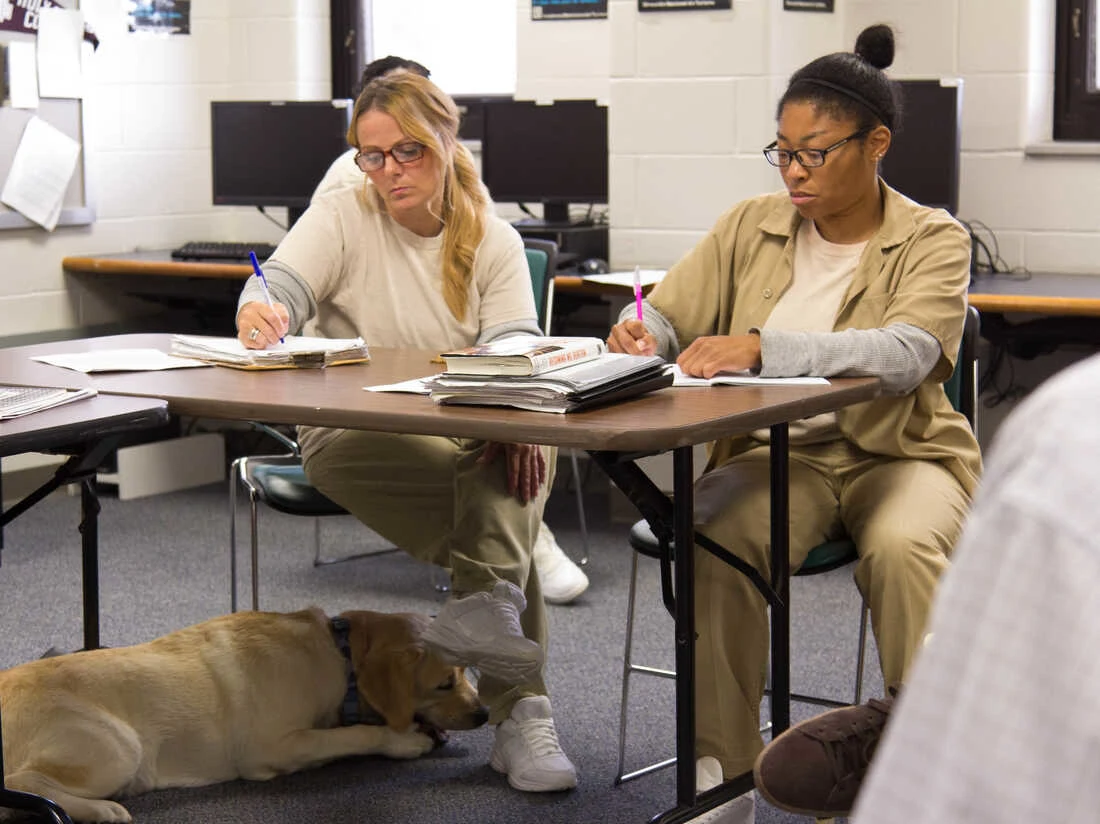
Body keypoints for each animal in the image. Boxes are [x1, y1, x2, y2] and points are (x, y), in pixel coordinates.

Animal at [0, 607, 490, 818]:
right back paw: (99, 810)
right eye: (444, 683)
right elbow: (351, 736)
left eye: (468, 673)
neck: (338, 652)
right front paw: (402, 740)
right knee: (22, 784)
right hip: (119, 746)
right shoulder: (271, 747)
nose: (484, 715)